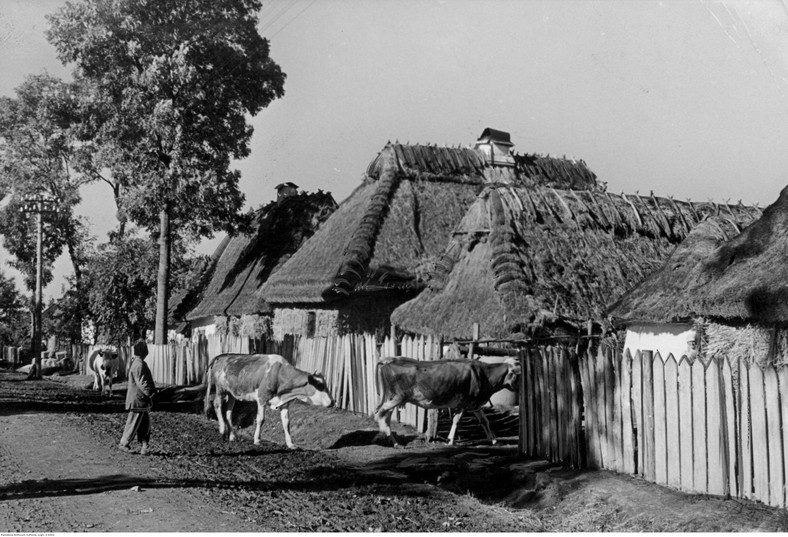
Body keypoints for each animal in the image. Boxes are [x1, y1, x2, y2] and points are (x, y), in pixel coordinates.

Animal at [203, 352, 332, 448]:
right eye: (319, 385)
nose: (332, 402)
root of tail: (222, 357)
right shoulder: (262, 398)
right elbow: (261, 419)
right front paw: (257, 440)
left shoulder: (285, 403)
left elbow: (286, 423)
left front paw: (290, 444)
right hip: (221, 389)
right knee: (217, 404)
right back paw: (222, 430)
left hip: (232, 394)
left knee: (228, 412)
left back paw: (232, 436)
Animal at [372, 356, 520, 448]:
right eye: (517, 374)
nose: (518, 388)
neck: (483, 374)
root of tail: (389, 360)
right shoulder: (464, 402)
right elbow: (456, 420)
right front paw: (450, 441)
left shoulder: (474, 403)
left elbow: (485, 421)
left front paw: (494, 441)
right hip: (398, 397)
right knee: (380, 414)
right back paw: (389, 439)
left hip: (393, 398)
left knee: (385, 416)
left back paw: (391, 440)